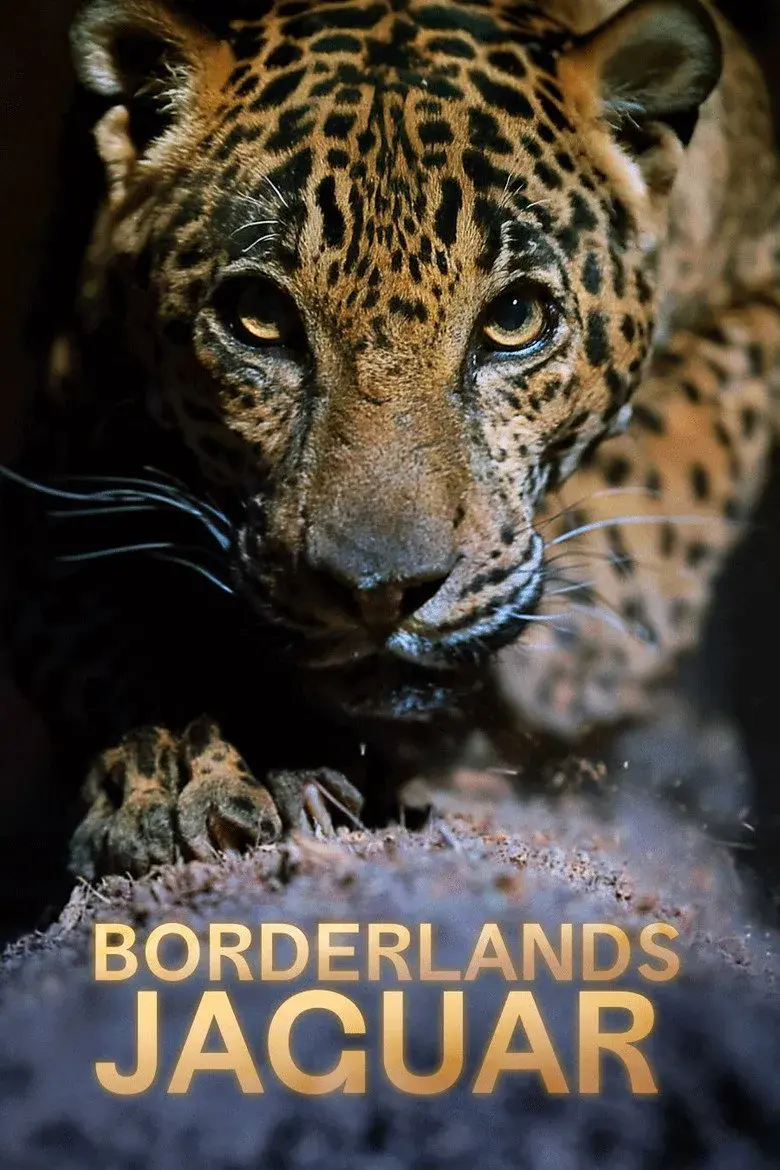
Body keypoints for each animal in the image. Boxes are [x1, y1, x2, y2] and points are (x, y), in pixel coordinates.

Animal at [6, 0, 780, 882]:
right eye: (258, 318)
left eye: (515, 318)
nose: (380, 592)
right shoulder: (60, 457)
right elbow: (108, 626)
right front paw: (176, 771)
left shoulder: (760, 284)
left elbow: (685, 445)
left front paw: (578, 651)